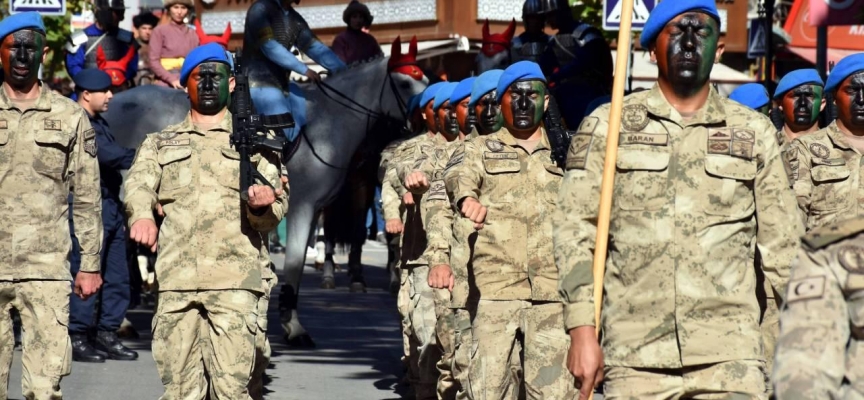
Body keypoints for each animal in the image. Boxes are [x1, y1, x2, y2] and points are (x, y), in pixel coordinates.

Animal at [105, 54, 428, 346]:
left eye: (422, 77)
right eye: (404, 82)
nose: (425, 114)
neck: (325, 126)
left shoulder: (314, 211)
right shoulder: (302, 208)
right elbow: (294, 264)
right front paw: (293, 326)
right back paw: (125, 319)